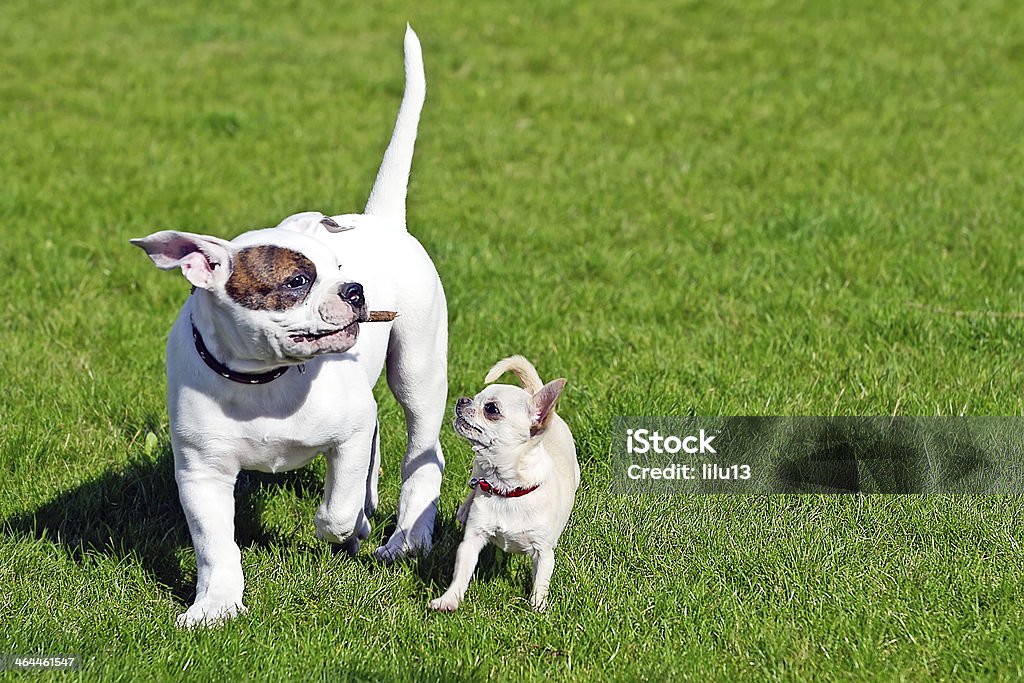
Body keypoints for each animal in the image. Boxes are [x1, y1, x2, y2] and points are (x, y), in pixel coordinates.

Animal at [130, 26, 446, 626]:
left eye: (341, 271)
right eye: (298, 281)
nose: (355, 291)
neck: (262, 378)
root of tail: (383, 220)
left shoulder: (348, 431)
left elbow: (336, 507)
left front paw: (346, 527)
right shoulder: (201, 472)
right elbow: (215, 544)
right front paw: (215, 605)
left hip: (419, 372)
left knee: (423, 451)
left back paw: (402, 539)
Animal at [428, 358, 581, 614]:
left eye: (491, 409)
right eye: (475, 397)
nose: (463, 400)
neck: (507, 489)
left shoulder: (543, 552)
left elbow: (541, 582)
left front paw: (538, 608)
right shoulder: (472, 540)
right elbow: (461, 573)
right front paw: (449, 599)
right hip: (476, 467)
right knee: (474, 483)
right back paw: (465, 508)